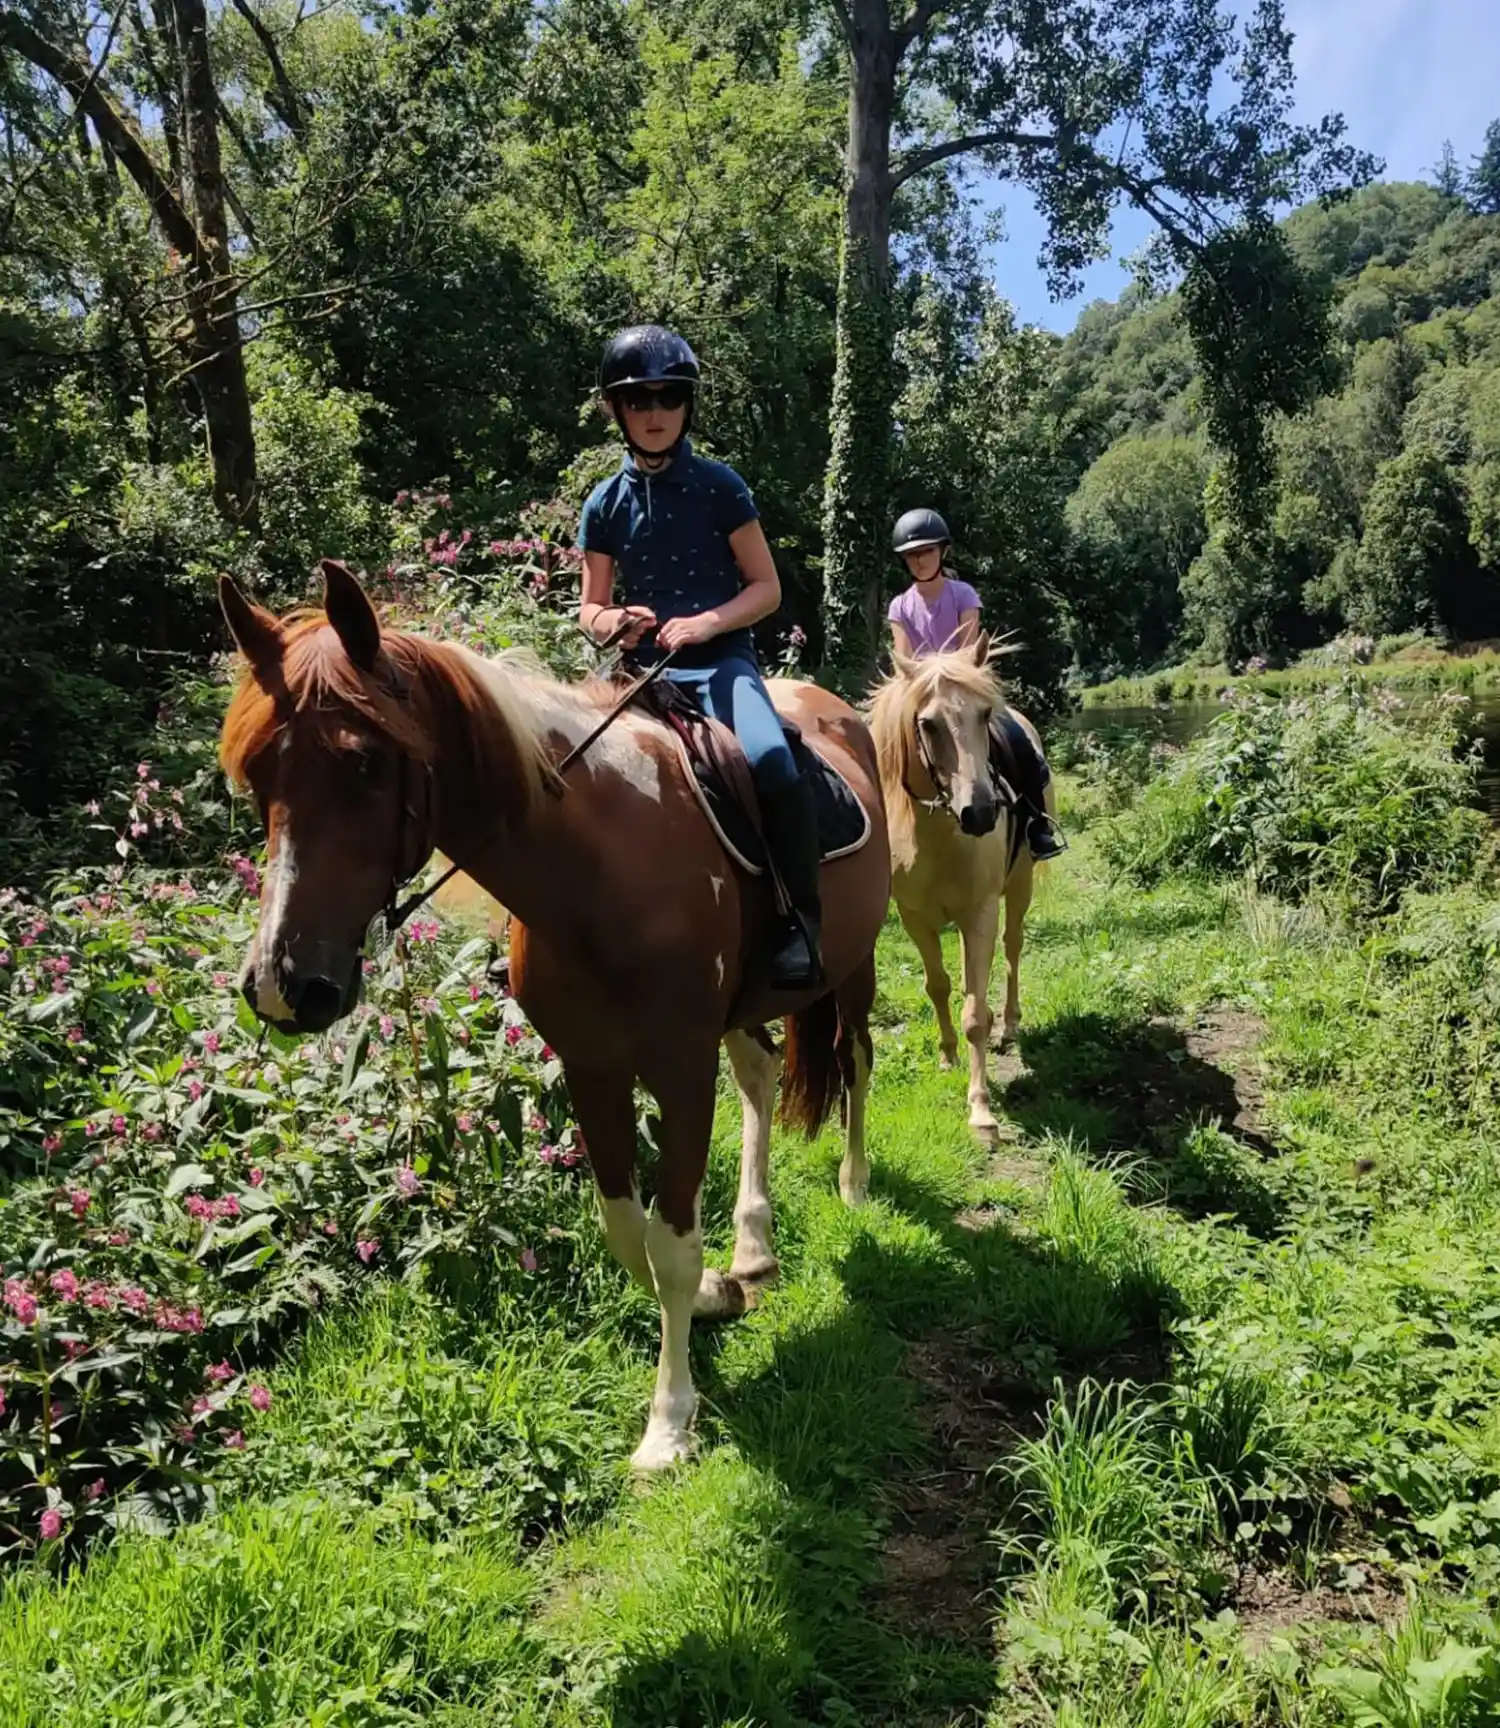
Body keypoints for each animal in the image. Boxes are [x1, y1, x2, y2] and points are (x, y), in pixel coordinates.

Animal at [214, 563, 891, 1472]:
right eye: (257, 774)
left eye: (362, 763)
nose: (284, 984)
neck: (604, 867)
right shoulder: (590, 1066)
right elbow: (626, 1232)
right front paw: (718, 1294)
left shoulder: (679, 1070)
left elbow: (671, 1246)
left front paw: (669, 1424)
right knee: (759, 1071)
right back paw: (752, 1246)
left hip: (852, 965)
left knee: (854, 1059)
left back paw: (853, 1183)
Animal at [867, 642, 1057, 1140]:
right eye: (928, 724)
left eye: (984, 713)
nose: (982, 812)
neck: (939, 835)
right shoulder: (914, 917)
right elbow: (938, 986)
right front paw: (947, 1054)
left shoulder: (980, 914)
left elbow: (975, 1012)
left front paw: (982, 1112)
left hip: (1021, 884)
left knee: (1013, 948)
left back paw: (1009, 1026)